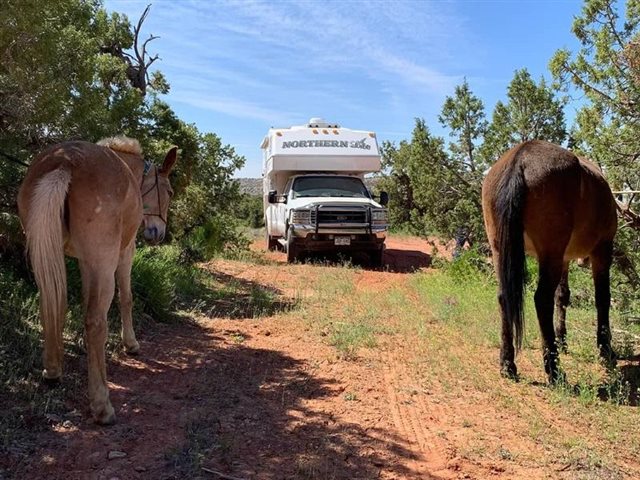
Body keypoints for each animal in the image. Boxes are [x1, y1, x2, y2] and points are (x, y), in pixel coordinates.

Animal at [18, 136, 178, 424]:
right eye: (169, 192)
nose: (158, 233)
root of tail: (65, 161)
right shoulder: (124, 252)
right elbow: (126, 298)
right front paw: (131, 343)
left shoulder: (84, 260)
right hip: (104, 260)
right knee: (95, 321)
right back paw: (102, 405)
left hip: (46, 252)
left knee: (49, 304)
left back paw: (52, 371)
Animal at [482, 140, 616, 382]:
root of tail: (521, 156)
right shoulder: (602, 250)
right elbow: (602, 298)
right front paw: (605, 349)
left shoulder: (564, 259)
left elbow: (562, 296)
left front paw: (562, 339)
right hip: (550, 252)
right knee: (542, 299)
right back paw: (553, 369)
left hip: (500, 249)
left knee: (504, 297)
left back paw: (507, 363)